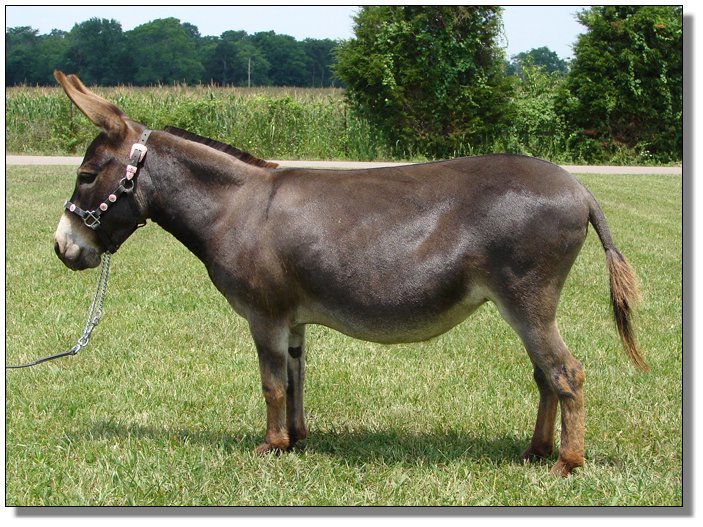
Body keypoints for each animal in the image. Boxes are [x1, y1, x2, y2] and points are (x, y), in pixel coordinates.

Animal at [52, 71, 646, 476]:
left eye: (86, 175)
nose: (62, 248)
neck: (233, 207)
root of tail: (580, 189)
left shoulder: (264, 316)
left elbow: (270, 383)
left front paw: (269, 448)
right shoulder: (292, 320)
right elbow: (295, 379)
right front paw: (297, 439)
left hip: (527, 296)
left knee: (566, 373)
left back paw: (567, 463)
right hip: (524, 304)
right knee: (546, 375)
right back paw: (536, 451)